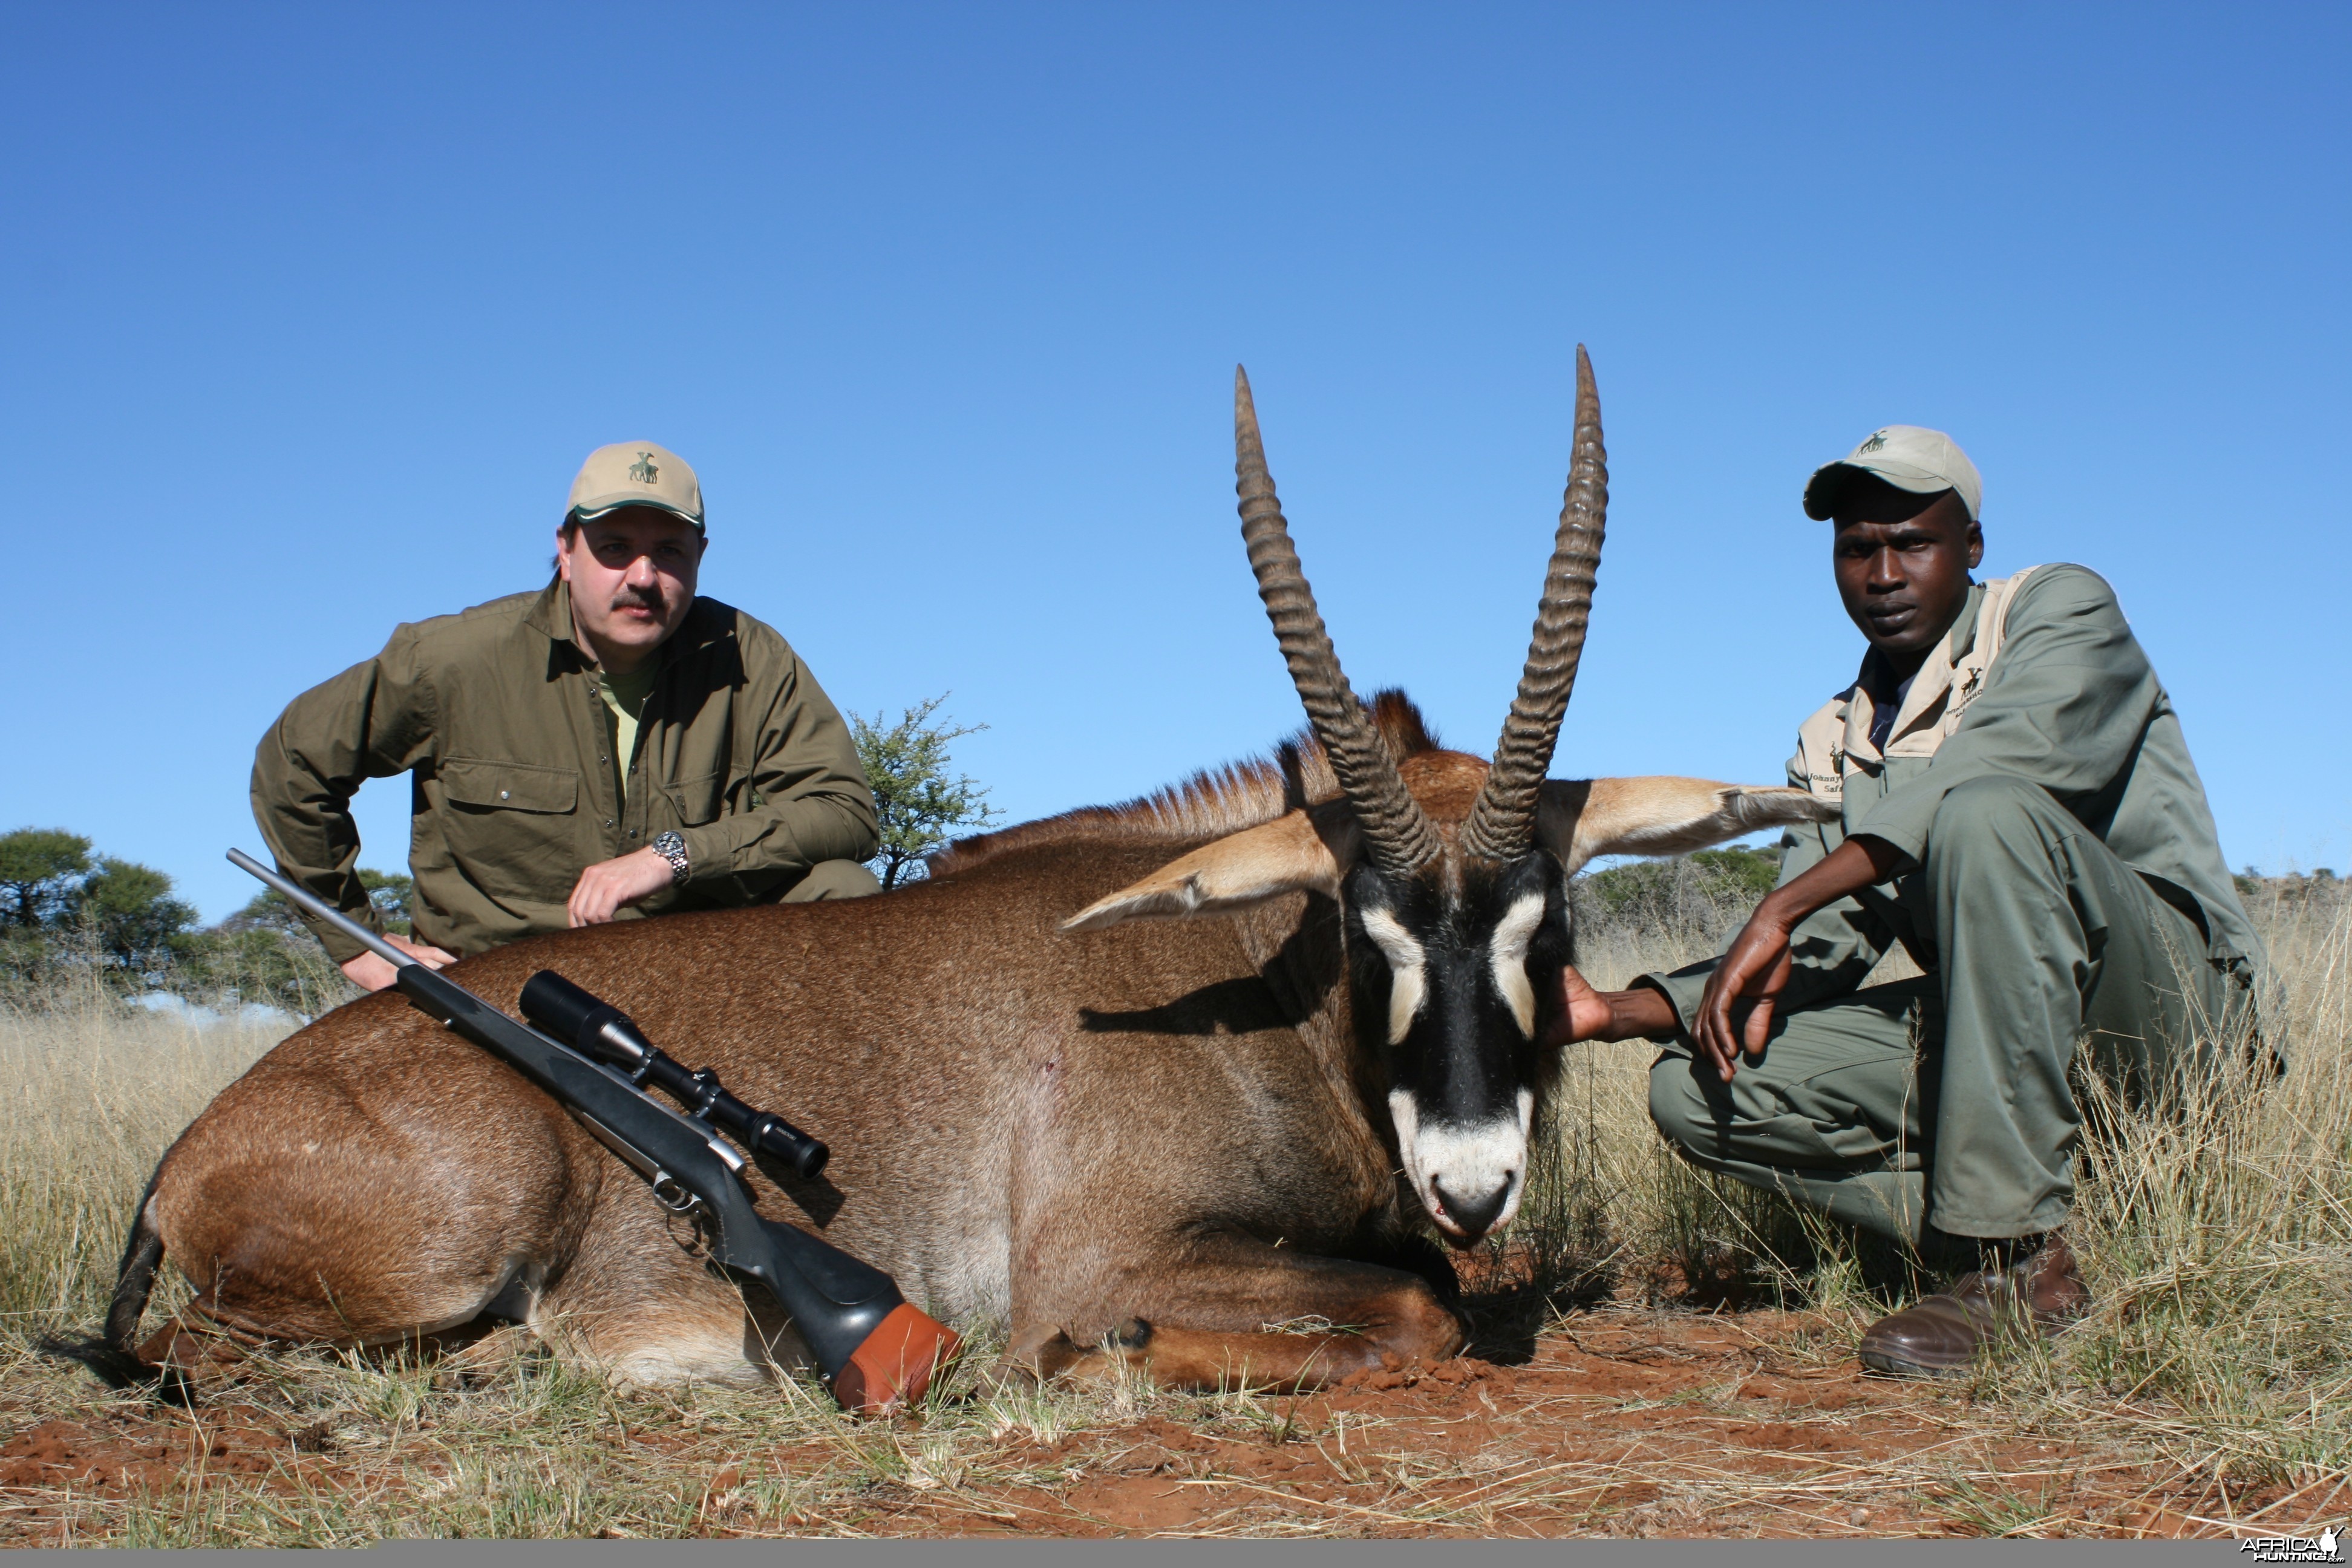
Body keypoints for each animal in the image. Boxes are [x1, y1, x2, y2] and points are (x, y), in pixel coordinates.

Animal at [110, 350, 1834, 1391]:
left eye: (1547, 924)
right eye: (1368, 927)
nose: (1472, 1178)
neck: (1252, 1002)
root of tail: (192, 1146)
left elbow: (1441, 1286)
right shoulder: (1102, 1251)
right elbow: (1420, 1311)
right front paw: (1096, 1362)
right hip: (472, 1227)